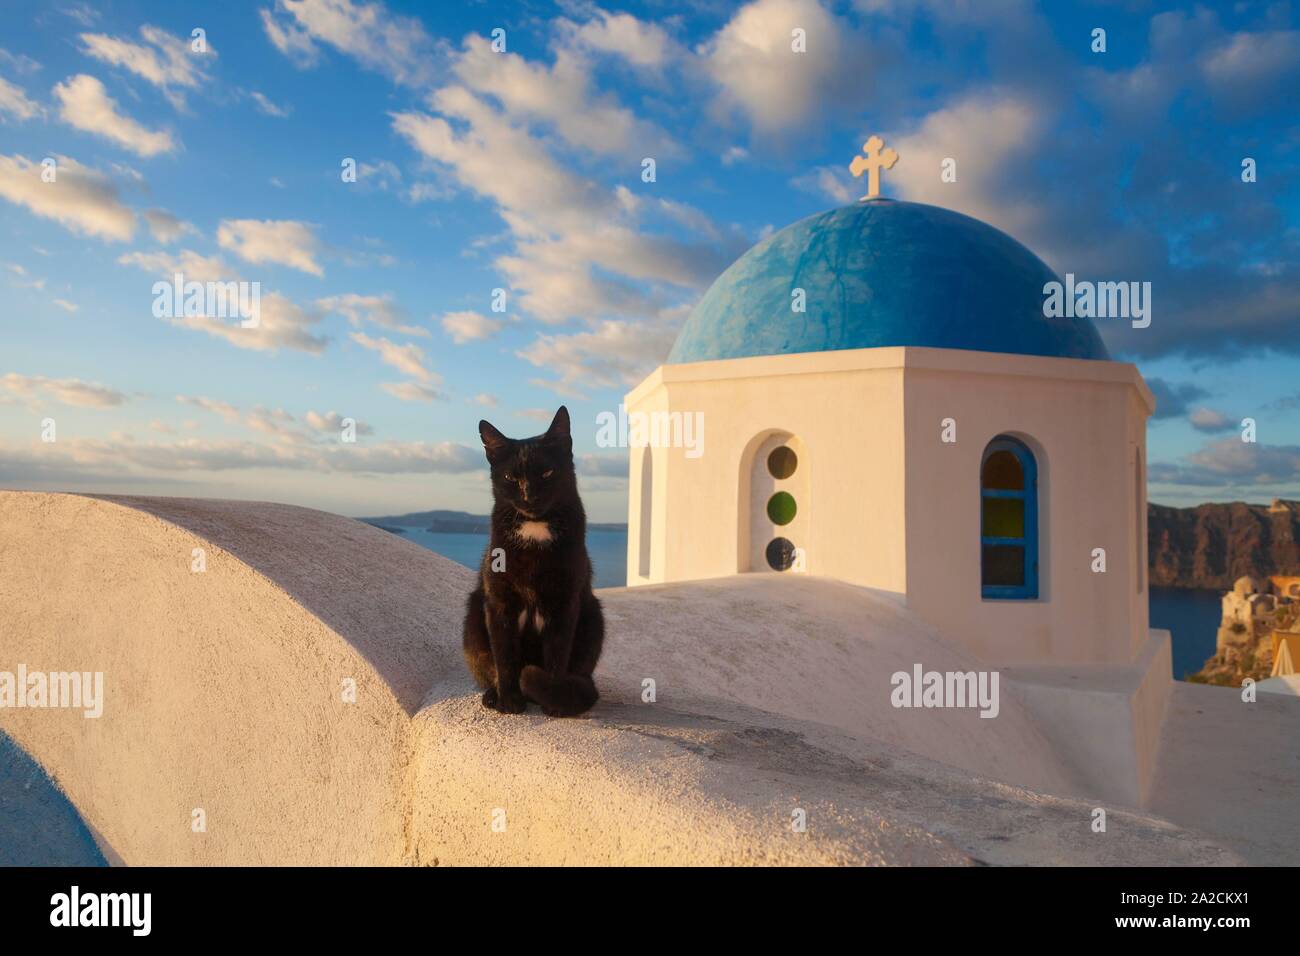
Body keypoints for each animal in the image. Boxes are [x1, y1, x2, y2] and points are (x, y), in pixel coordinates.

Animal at [462, 405, 603, 717]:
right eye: (510, 478)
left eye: (547, 472)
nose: (530, 495)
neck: (535, 530)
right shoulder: (498, 602)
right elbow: (504, 656)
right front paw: (509, 700)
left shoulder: (565, 602)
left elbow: (556, 656)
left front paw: (552, 698)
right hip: (473, 619)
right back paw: (493, 695)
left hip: (593, 615)